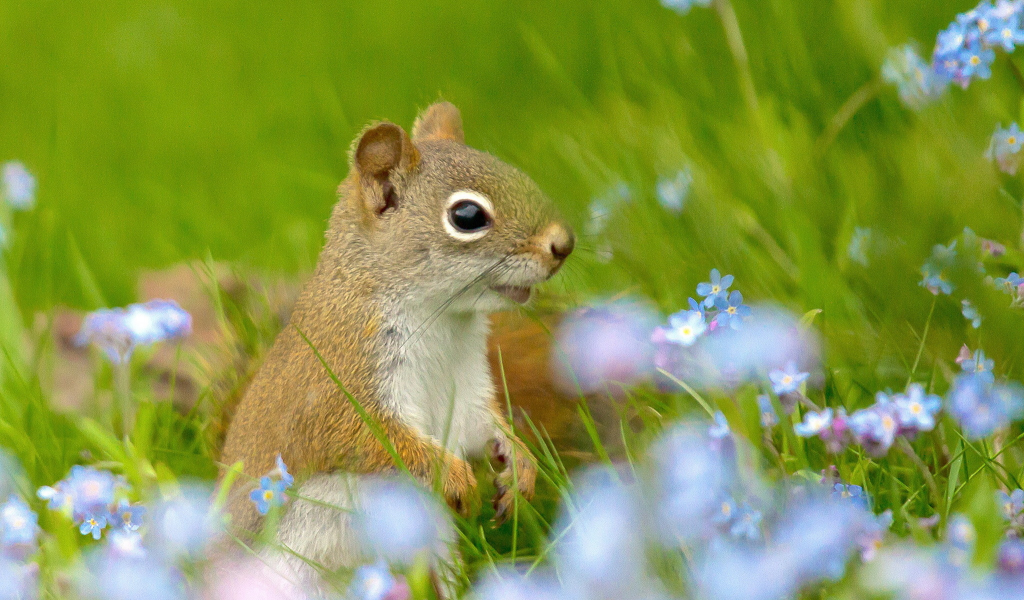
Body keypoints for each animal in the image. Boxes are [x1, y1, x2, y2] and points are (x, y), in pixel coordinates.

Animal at [219, 100, 577, 585]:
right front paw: (454, 476)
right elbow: (370, 438)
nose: (564, 244)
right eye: (467, 216)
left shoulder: (465, 387)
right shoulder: (341, 380)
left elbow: (481, 425)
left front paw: (520, 466)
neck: (443, 320)